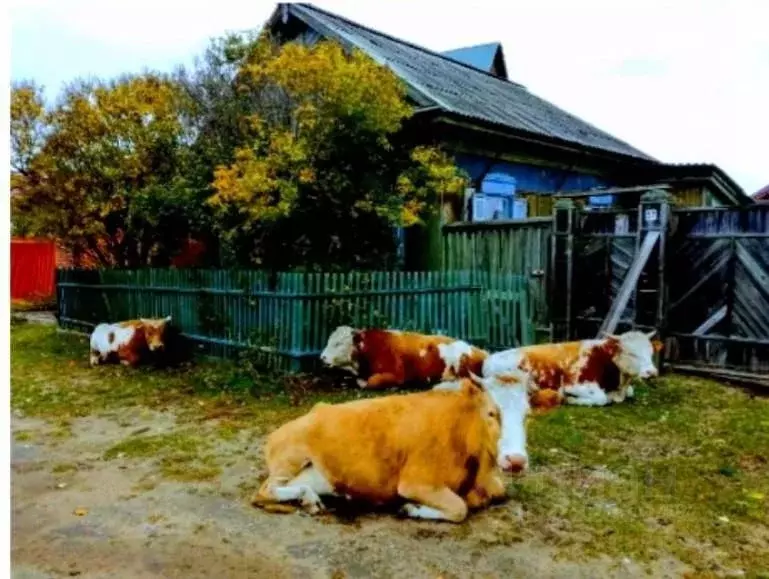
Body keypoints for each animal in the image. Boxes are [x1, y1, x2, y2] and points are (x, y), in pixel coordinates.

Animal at [249, 378, 508, 524]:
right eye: (491, 414)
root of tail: (274, 434)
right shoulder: (416, 483)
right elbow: (460, 509)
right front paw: (410, 509)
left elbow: (498, 491)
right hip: (289, 460)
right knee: (263, 491)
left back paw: (311, 500)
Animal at [484, 328, 664, 410]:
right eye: (631, 353)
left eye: (650, 352)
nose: (652, 372)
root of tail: (488, 360)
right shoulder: (576, 384)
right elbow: (601, 399)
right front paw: (570, 399)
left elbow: (630, 392)